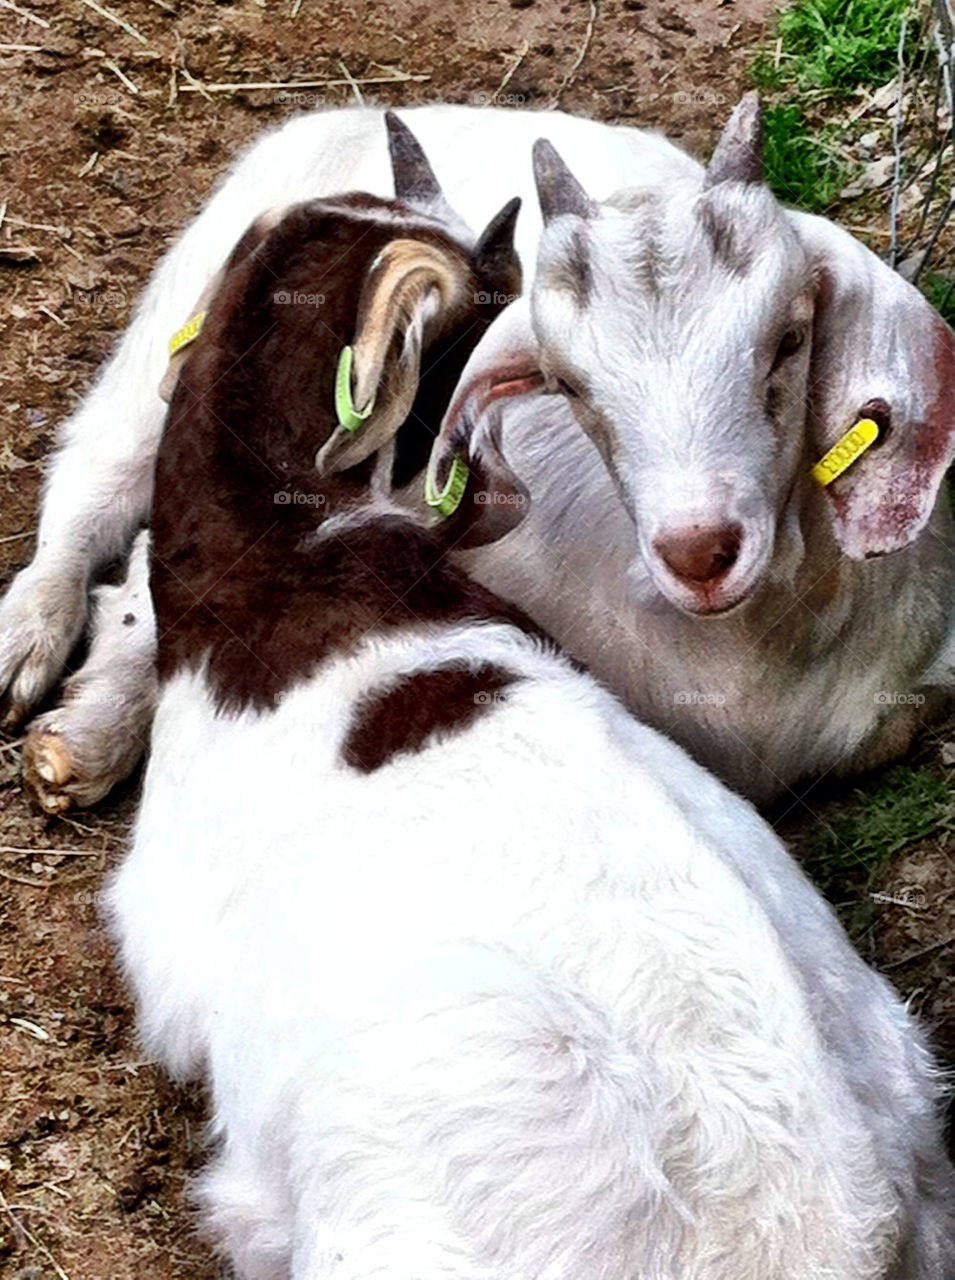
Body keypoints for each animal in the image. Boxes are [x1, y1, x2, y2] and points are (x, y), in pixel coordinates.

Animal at [1, 98, 954, 807]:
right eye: (566, 384)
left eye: (789, 339)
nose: (699, 551)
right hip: (176, 323)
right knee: (98, 494)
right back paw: (41, 662)